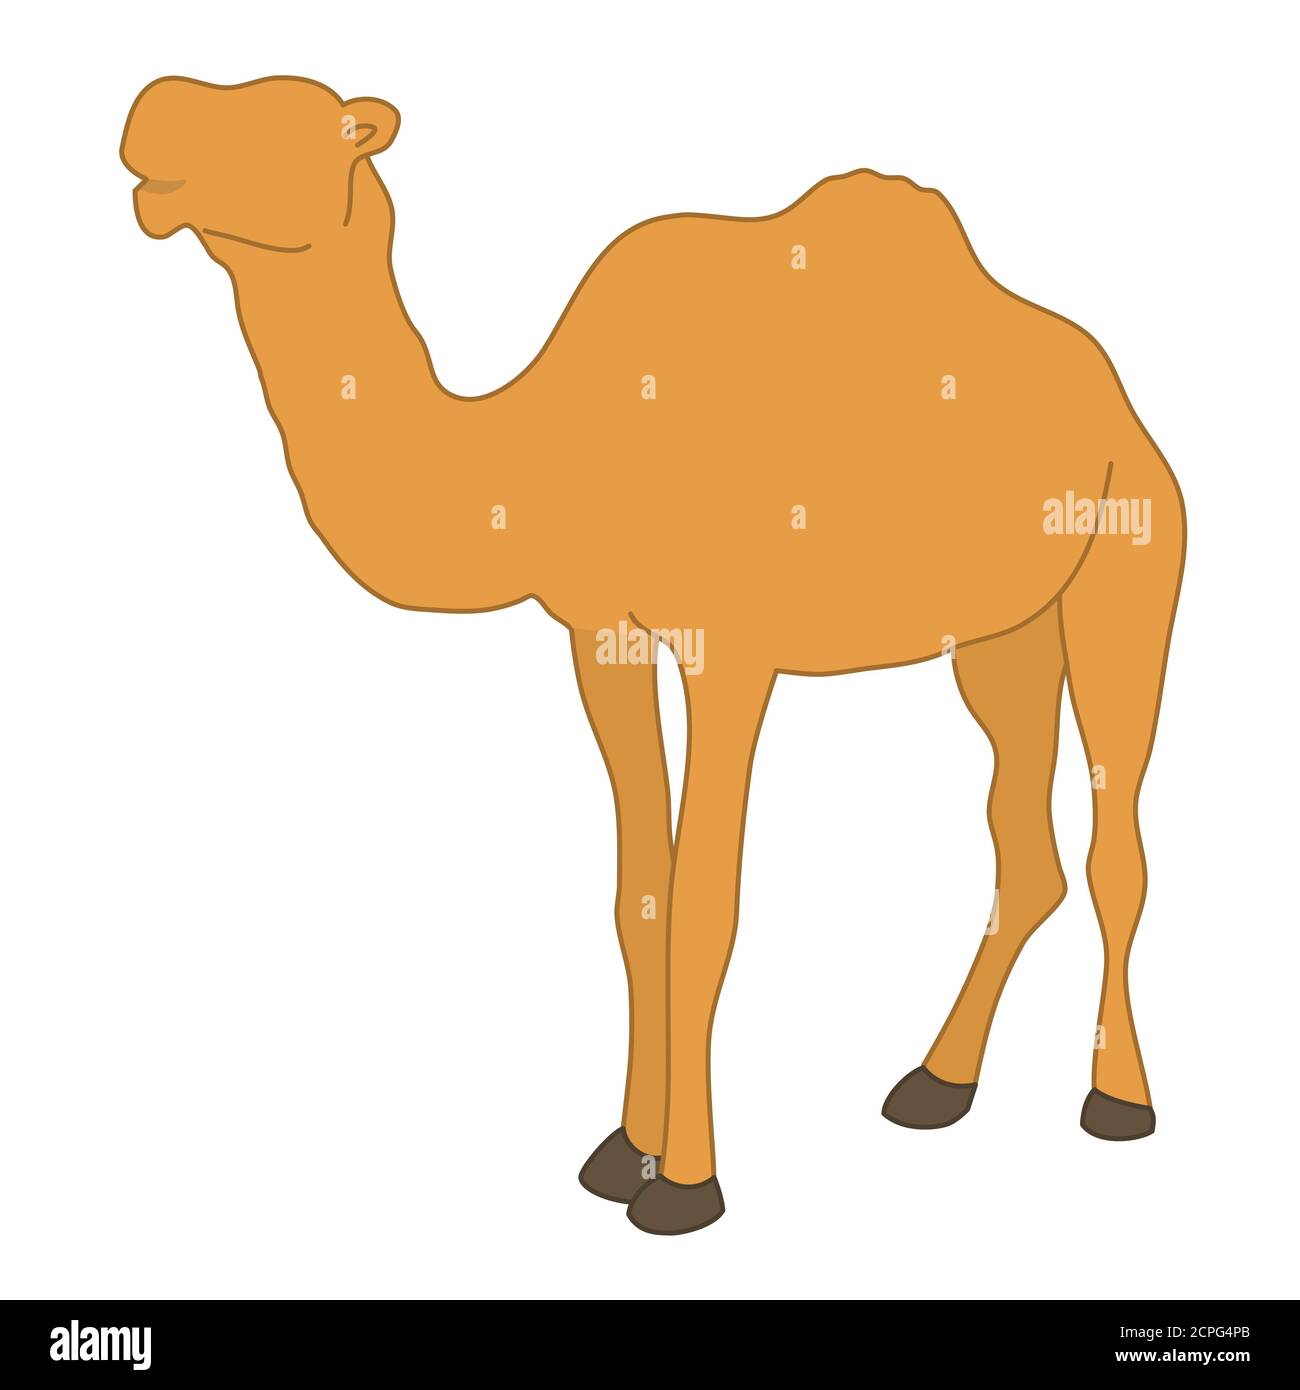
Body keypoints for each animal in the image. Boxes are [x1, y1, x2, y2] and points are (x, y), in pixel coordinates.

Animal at [121, 76, 1186, 1236]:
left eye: (292, 123)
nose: (149, 113)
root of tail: (1118, 396)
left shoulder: (734, 649)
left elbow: (706, 902)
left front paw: (685, 1184)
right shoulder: (600, 637)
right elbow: (640, 895)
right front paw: (620, 1151)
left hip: (1130, 555)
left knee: (1116, 842)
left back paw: (1118, 1102)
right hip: (1000, 635)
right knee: (1025, 843)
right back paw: (934, 1081)